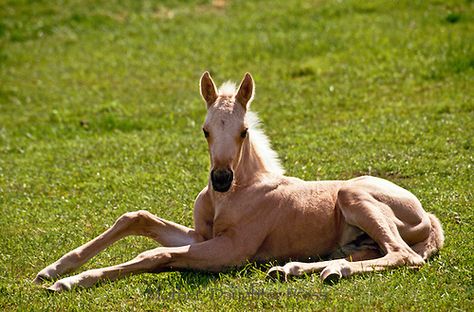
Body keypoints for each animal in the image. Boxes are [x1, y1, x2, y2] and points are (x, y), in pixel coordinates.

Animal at [35, 72, 442, 292]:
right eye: (205, 130)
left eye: (244, 131)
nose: (220, 179)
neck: (234, 196)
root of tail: (431, 219)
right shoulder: (202, 236)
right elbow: (137, 218)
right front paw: (52, 270)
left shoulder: (231, 250)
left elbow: (155, 255)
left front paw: (71, 282)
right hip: (357, 238)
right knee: (369, 254)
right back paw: (299, 270)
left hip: (354, 194)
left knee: (402, 255)